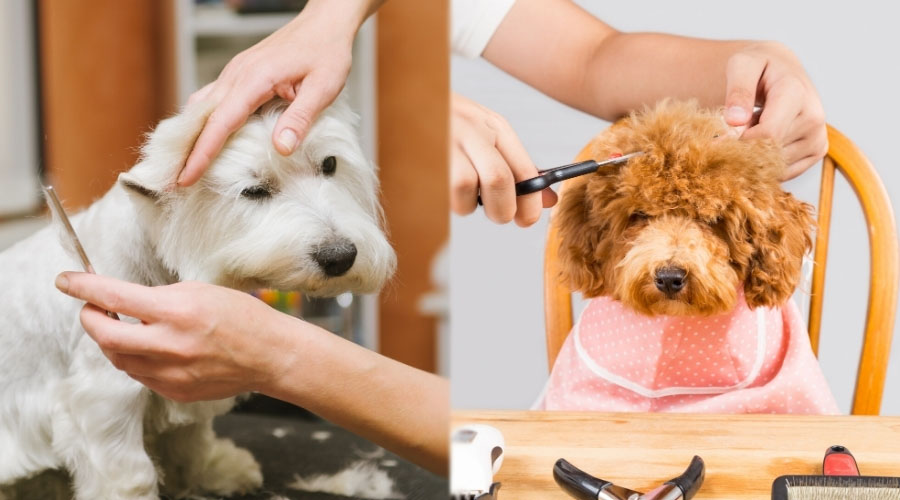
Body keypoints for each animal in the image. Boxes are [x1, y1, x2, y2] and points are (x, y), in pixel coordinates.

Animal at [0, 98, 398, 500]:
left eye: (329, 164)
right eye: (253, 190)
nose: (340, 256)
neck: (162, 268)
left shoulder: (186, 379)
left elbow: (189, 441)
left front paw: (215, 471)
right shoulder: (105, 395)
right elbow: (130, 473)